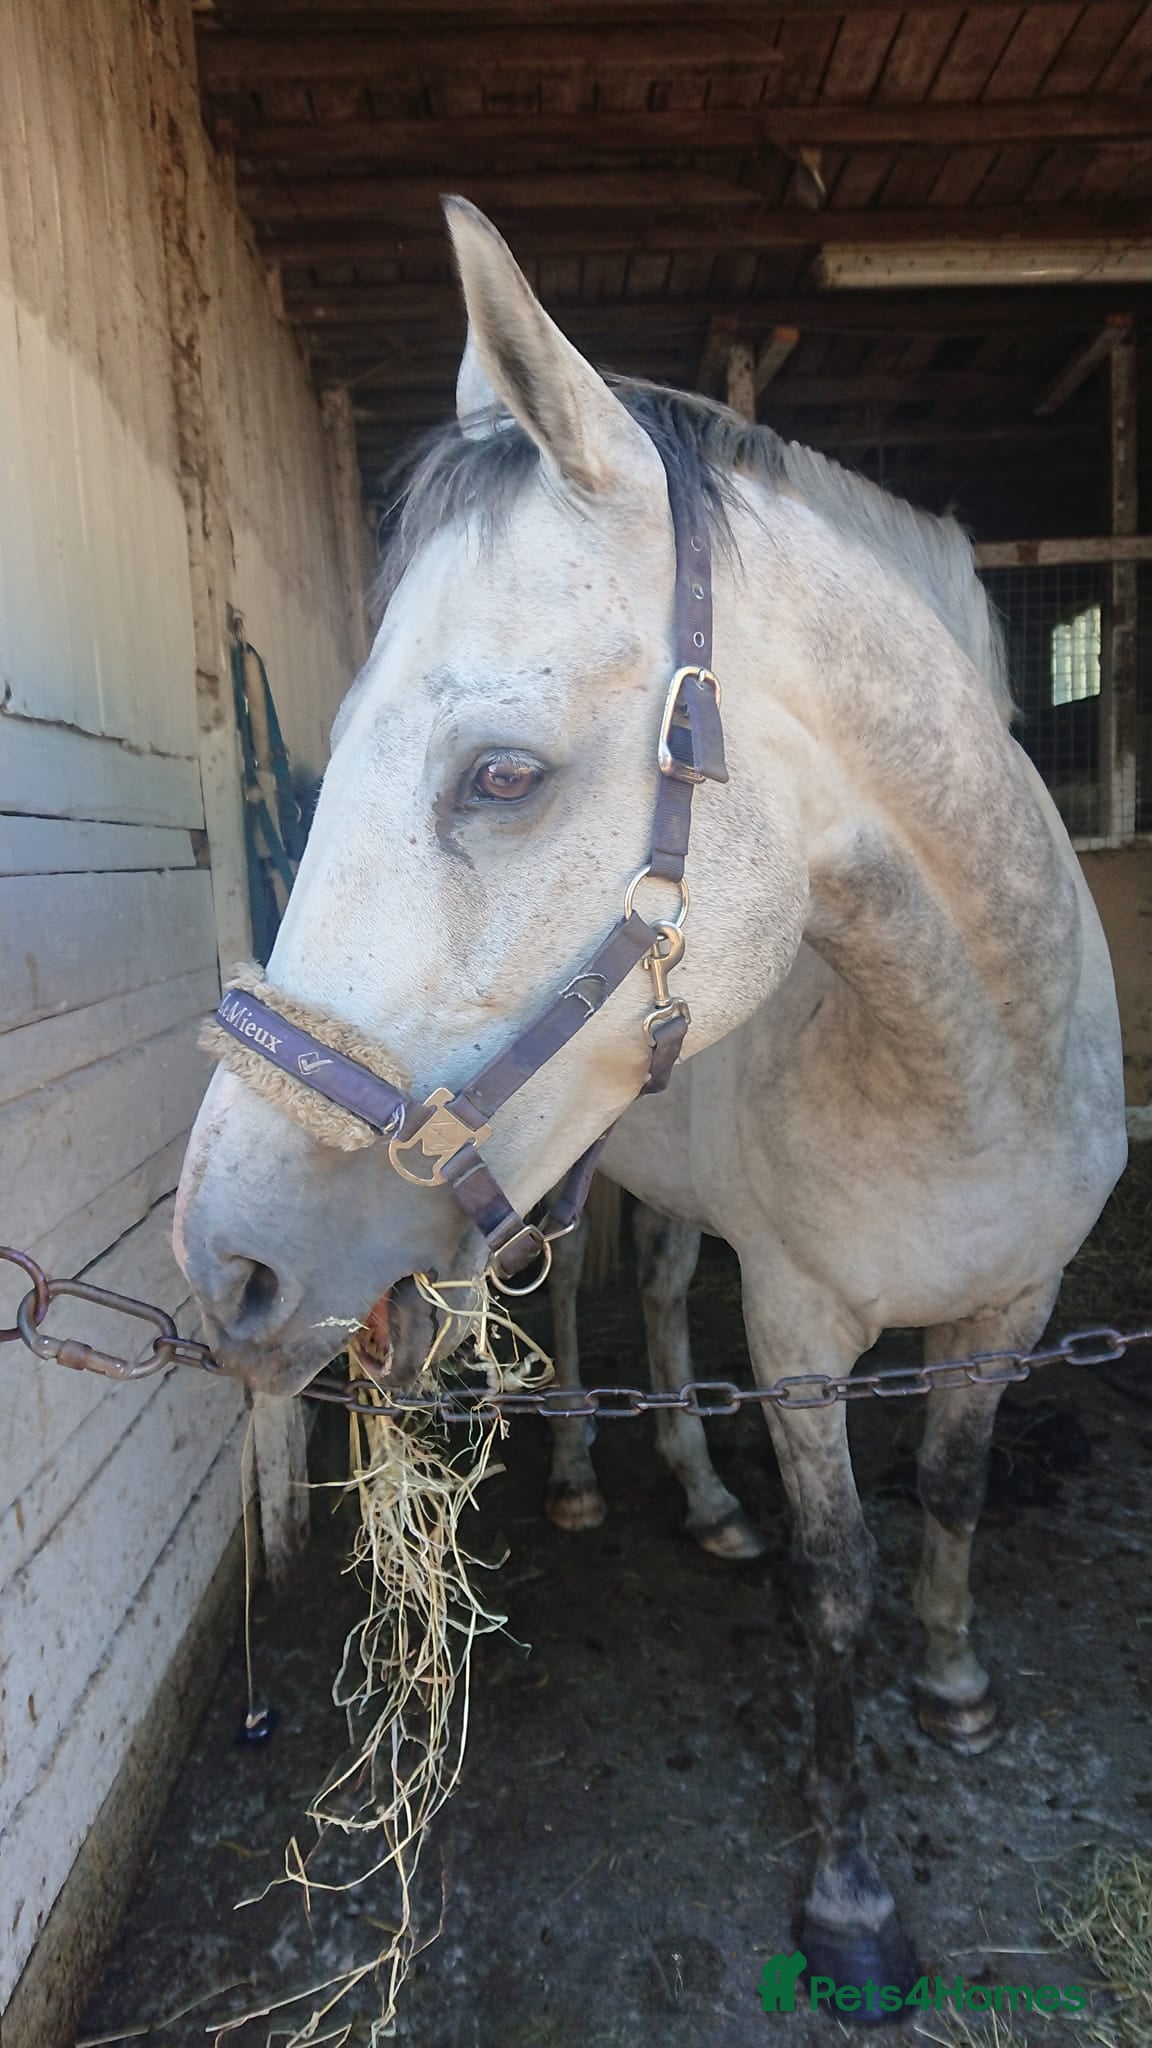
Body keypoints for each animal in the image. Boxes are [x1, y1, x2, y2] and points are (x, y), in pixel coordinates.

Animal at [174, 196, 1126, 2007]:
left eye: (502, 774)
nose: (224, 1263)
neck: (963, 1068)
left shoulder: (1015, 1302)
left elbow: (955, 1491)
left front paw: (958, 1685)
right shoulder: (805, 1326)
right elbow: (836, 1580)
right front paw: (849, 1901)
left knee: (672, 1302)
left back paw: (695, 1500)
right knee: (584, 1321)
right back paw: (576, 1480)